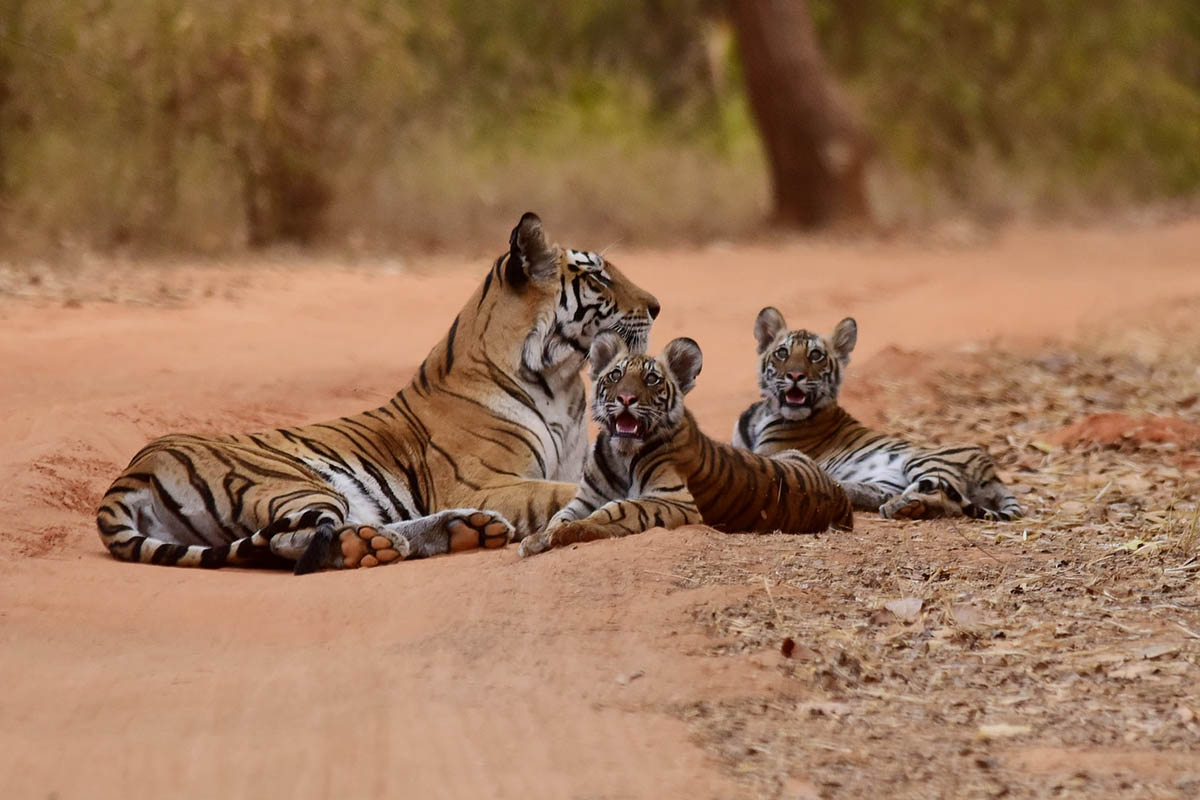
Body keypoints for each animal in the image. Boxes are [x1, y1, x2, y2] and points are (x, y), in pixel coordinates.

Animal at [96, 212, 660, 573]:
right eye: (598, 277)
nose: (656, 306)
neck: (562, 381)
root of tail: (131, 472)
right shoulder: (485, 482)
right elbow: (562, 494)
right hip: (292, 482)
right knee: (289, 542)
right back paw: (377, 546)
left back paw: (464, 531)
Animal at [518, 332, 853, 556]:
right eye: (615, 375)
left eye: (651, 379)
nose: (625, 398)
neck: (621, 454)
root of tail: (839, 494)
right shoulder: (585, 498)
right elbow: (560, 515)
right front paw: (538, 538)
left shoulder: (676, 499)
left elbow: (619, 508)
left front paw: (568, 533)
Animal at [732, 307, 1024, 521]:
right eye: (782, 353)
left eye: (815, 356)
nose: (795, 375)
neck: (765, 412)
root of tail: (991, 471)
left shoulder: (770, 454)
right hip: (888, 479)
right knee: (880, 493)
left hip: (925, 461)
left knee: (942, 497)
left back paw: (900, 506)